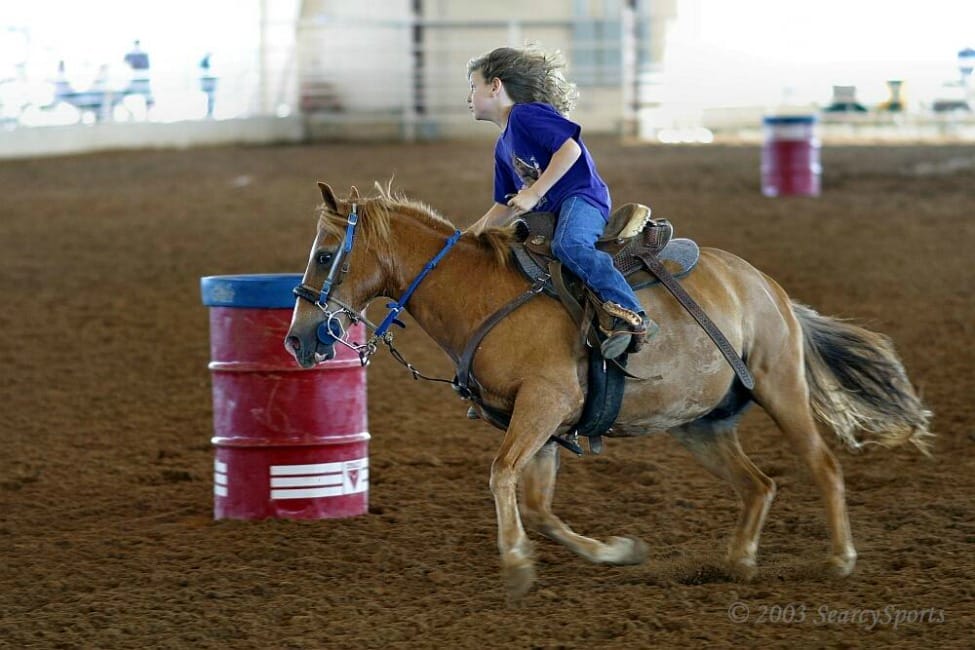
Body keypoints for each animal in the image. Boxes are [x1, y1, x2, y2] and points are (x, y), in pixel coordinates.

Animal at [282, 181, 932, 596]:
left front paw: (515, 565)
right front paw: (616, 552)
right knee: (759, 485)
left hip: (781, 386)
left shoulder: (544, 405)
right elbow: (537, 505)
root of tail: (769, 288)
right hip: (700, 423)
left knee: (822, 464)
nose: (298, 339)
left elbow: (500, 476)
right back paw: (738, 562)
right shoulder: (540, 424)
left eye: (324, 255)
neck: (483, 295)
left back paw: (840, 558)